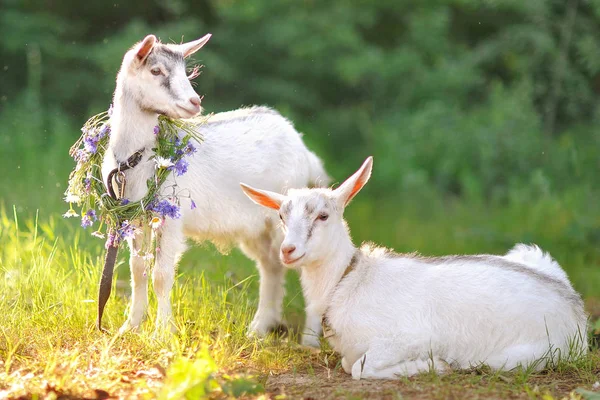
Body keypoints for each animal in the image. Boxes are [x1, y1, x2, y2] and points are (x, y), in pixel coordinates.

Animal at [102, 33, 328, 338]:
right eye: (156, 71)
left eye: (185, 72)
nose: (194, 102)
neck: (137, 158)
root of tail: (303, 148)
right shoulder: (135, 217)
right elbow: (138, 269)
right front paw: (130, 327)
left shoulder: (170, 217)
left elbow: (161, 275)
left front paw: (163, 333)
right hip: (257, 227)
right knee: (272, 265)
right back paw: (259, 327)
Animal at [239, 155, 584, 378]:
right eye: (281, 216)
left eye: (323, 216)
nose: (288, 250)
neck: (348, 281)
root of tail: (575, 310)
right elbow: (350, 364)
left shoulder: (411, 337)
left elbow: (360, 368)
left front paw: (436, 366)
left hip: (518, 356)